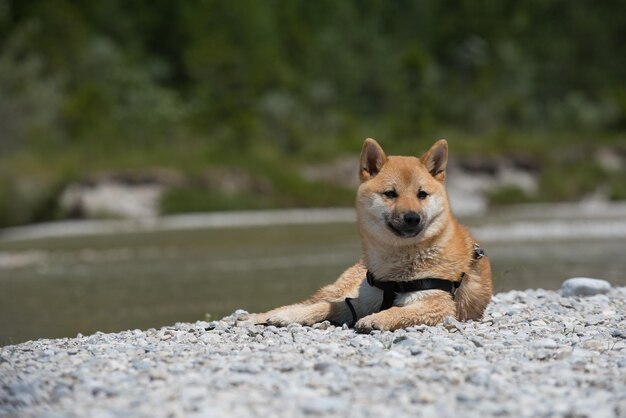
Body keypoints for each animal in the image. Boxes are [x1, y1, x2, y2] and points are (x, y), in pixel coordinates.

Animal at [246, 139, 490, 332]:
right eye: (390, 194)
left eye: (422, 194)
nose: (412, 217)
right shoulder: (362, 300)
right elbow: (325, 306)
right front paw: (288, 316)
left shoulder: (438, 304)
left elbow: (400, 311)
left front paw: (377, 319)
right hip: (340, 288)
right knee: (311, 301)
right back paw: (259, 316)